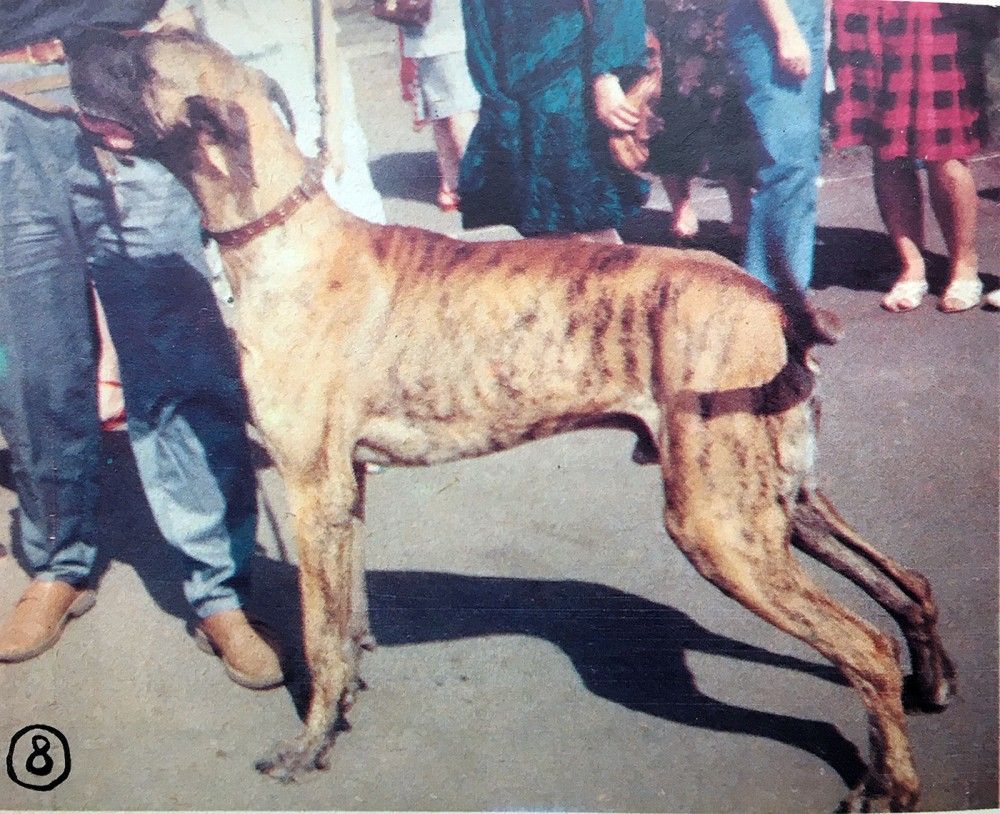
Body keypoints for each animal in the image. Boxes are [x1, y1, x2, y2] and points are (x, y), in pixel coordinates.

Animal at [67, 28, 956, 811]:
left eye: (137, 58)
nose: (67, 43)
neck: (282, 233)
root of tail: (769, 302)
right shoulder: (346, 491)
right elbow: (346, 620)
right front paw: (347, 701)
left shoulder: (311, 491)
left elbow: (318, 634)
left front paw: (309, 744)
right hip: (782, 504)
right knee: (907, 582)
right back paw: (933, 679)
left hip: (719, 526)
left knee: (864, 646)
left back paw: (891, 782)